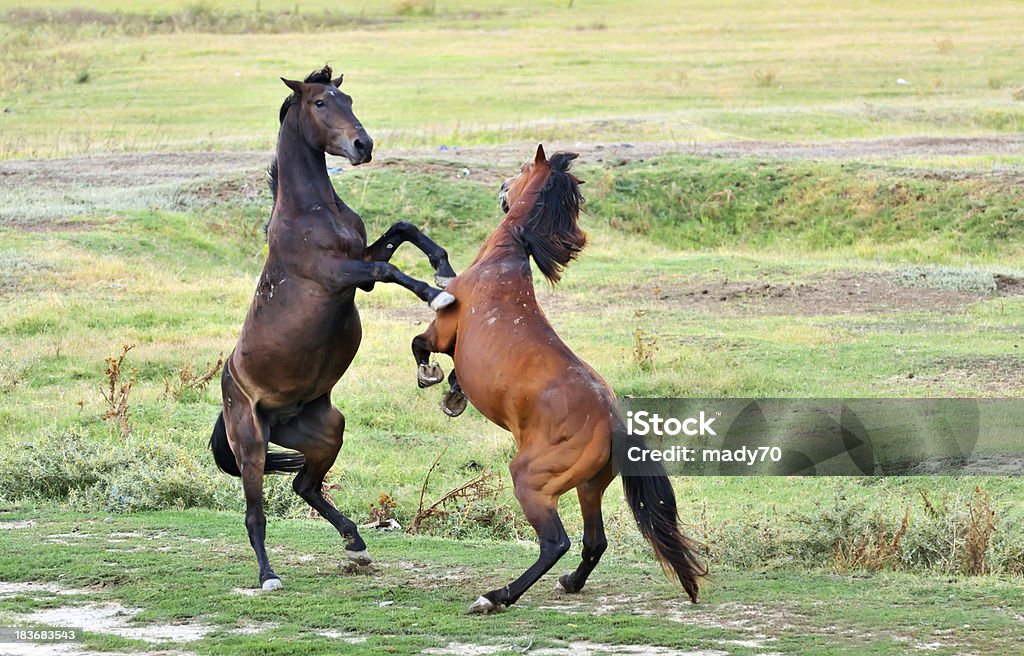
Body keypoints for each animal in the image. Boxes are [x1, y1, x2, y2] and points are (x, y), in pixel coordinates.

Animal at [207, 65, 456, 589]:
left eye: (349, 99)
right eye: (320, 102)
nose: (364, 145)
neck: (312, 211)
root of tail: (228, 395)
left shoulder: (359, 267)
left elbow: (402, 230)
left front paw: (444, 268)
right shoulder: (338, 275)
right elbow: (389, 269)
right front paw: (437, 293)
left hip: (325, 430)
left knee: (304, 484)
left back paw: (356, 543)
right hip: (251, 444)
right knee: (255, 514)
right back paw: (269, 576)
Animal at [411, 145, 708, 609]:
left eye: (519, 169)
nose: (501, 187)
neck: (507, 256)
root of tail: (614, 423)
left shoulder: (443, 329)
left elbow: (420, 345)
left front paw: (432, 377)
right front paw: (454, 394)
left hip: (532, 482)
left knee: (557, 542)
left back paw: (497, 596)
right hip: (589, 487)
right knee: (594, 542)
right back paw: (570, 582)